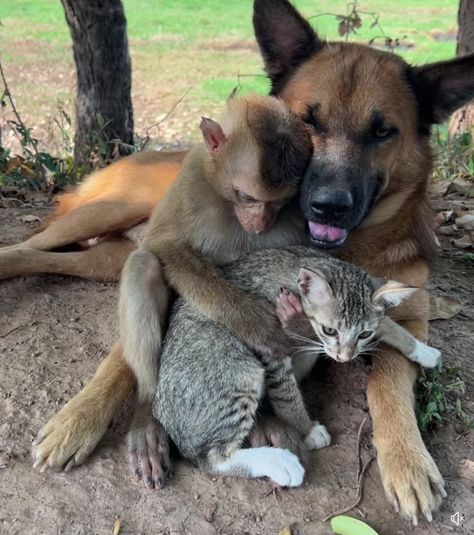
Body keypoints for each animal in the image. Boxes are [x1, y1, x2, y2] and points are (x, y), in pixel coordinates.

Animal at [118, 94, 312, 488]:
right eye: (246, 196)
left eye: (278, 202)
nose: (260, 222)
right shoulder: (191, 179)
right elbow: (168, 249)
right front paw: (257, 325)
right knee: (143, 265)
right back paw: (147, 415)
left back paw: (266, 419)